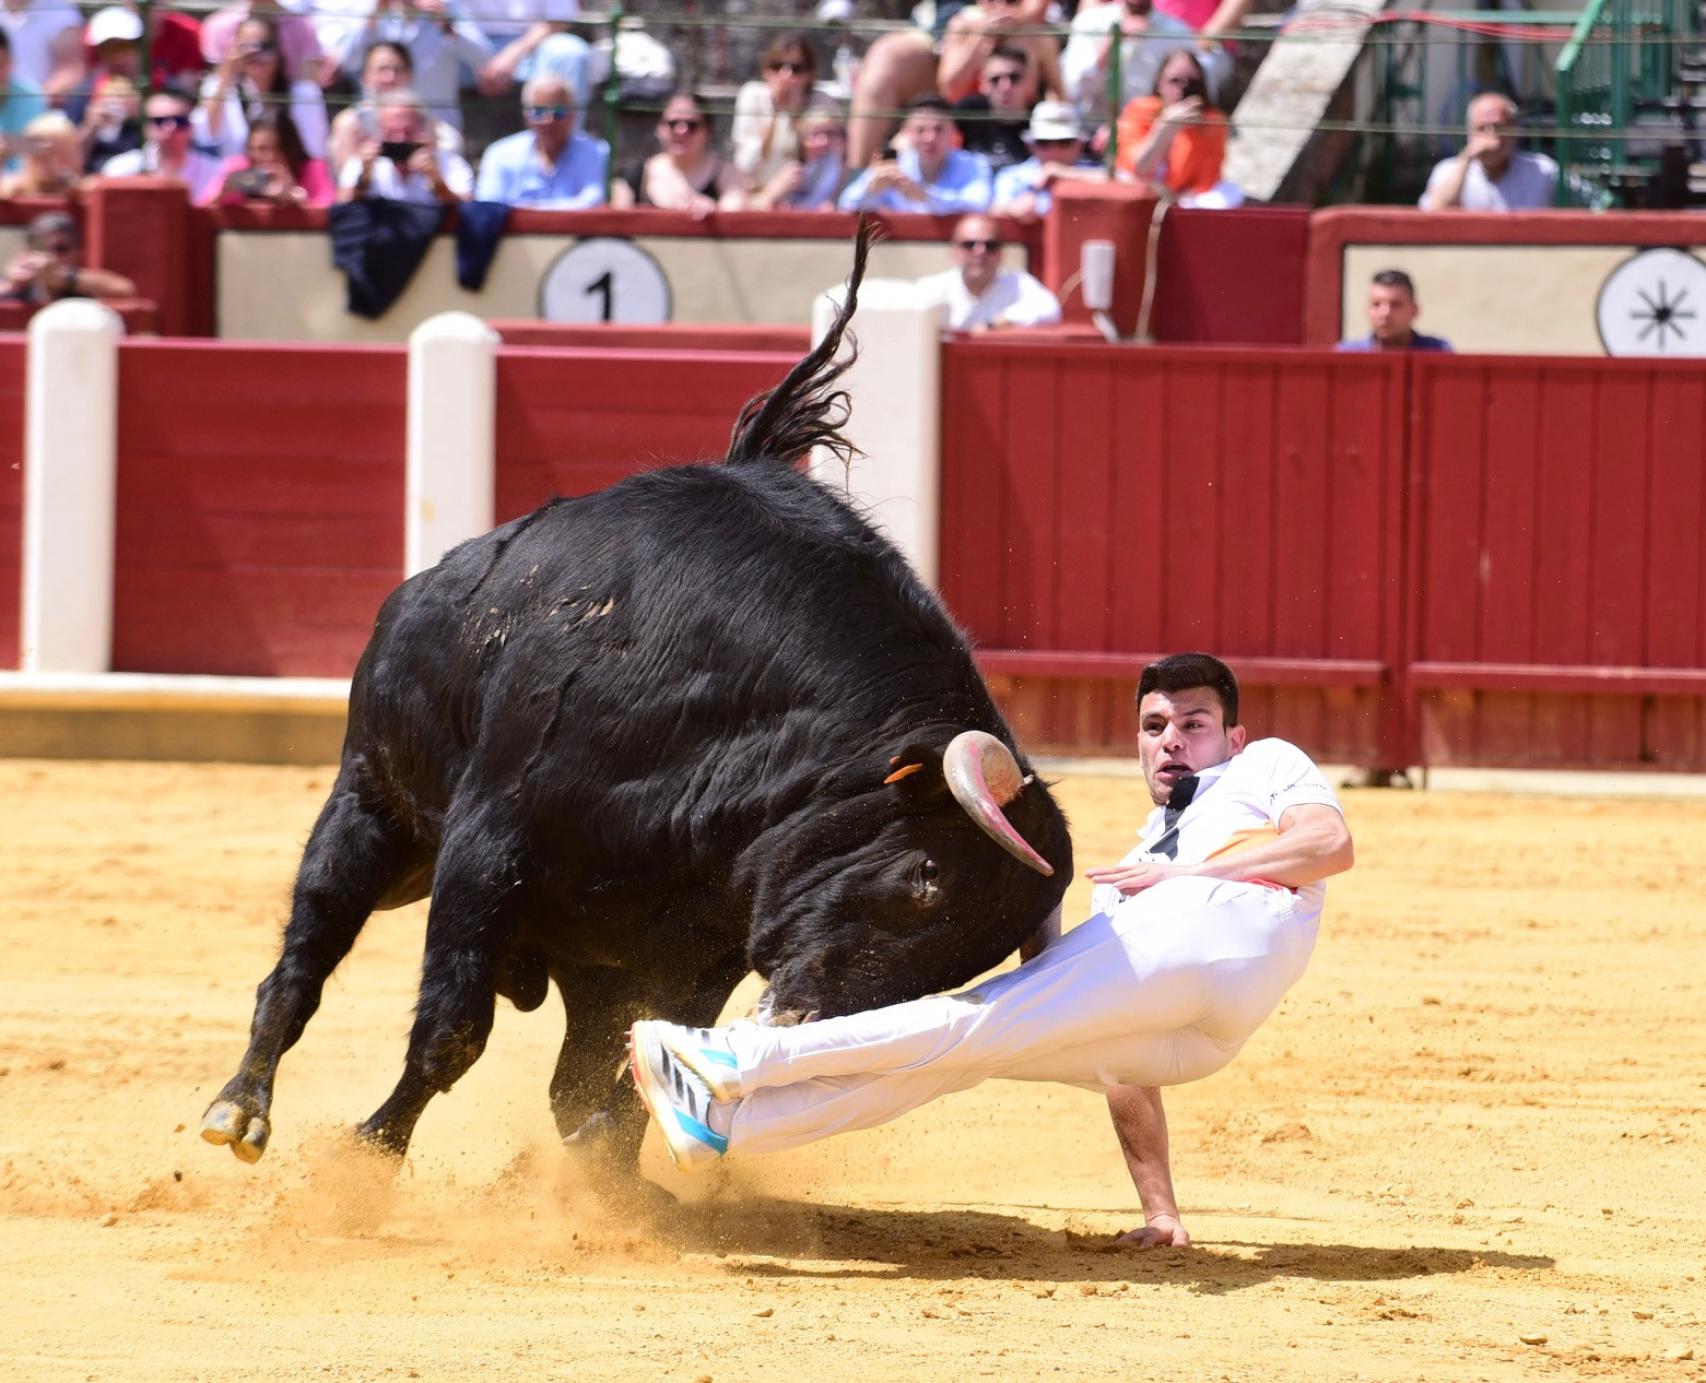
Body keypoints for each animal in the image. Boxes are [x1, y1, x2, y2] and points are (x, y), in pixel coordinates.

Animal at [203, 230, 1064, 1180]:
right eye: (925, 877)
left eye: (963, 965)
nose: (806, 1022)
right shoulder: (485, 846)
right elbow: (453, 1030)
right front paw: (368, 1157)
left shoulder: (702, 939)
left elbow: (626, 1075)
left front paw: (617, 1184)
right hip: (373, 808)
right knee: (303, 957)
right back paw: (238, 1108)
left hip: (585, 954)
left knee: (573, 1075)